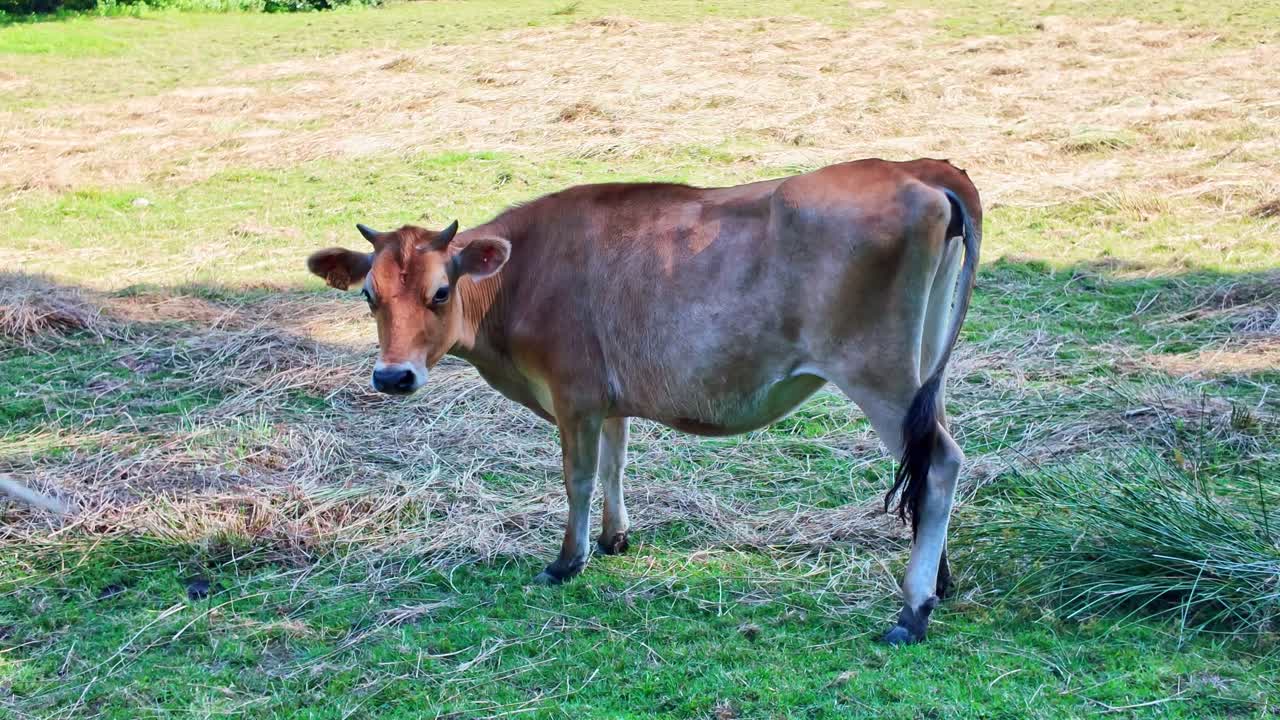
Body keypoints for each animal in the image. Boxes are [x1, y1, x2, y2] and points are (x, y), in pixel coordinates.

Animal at [307, 158, 981, 645]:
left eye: (442, 291)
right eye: (368, 295)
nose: (393, 377)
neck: (518, 278)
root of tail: (918, 169)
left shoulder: (574, 391)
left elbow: (578, 475)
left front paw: (568, 560)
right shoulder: (609, 397)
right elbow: (614, 462)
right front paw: (614, 539)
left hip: (875, 371)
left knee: (941, 462)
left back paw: (912, 610)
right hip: (921, 368)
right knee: (926, 459)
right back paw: (941, 580)